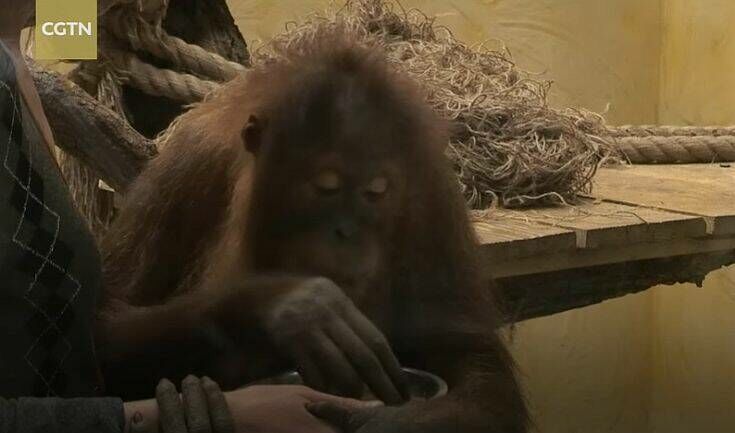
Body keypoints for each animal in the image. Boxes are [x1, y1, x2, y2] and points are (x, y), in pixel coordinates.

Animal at [98, 31, 530, 432]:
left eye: (376, 190)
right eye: (326, 185)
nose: (347, 231)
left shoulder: (434, 194)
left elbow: (472, 357)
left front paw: (383, 421)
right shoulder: (186, 166)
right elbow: (109, 319)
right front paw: (290, 303)